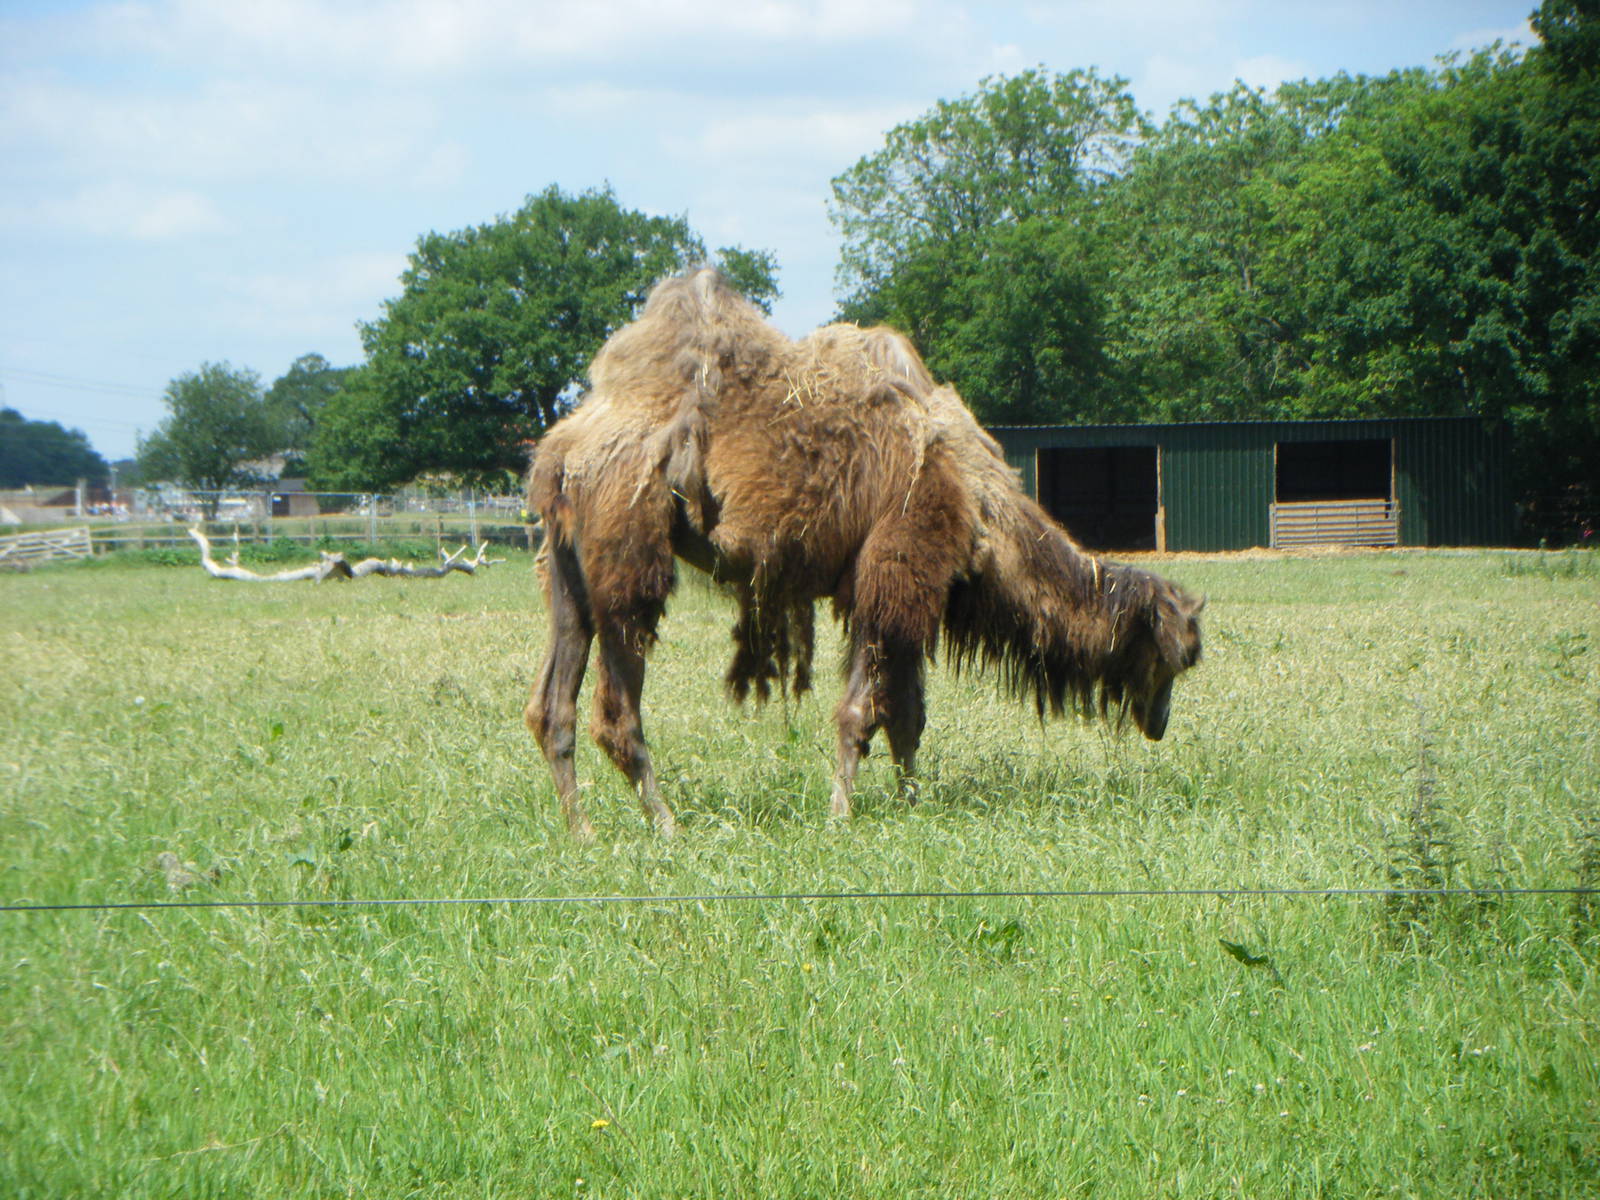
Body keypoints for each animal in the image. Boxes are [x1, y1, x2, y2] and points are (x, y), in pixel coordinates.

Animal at [526, 269, 1203, 839]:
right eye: (1172, 658)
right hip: (627, 549)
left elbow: (907, 715)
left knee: (550, 708)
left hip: (565, 570)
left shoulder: (906, 589)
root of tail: (559, 453)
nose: (1161, 724)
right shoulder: (898, 567)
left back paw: (581, 829)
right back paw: (667, 826)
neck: (982, 505)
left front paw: (911, 803)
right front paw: (841, 815)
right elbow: (862, 711)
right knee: (615, 710)